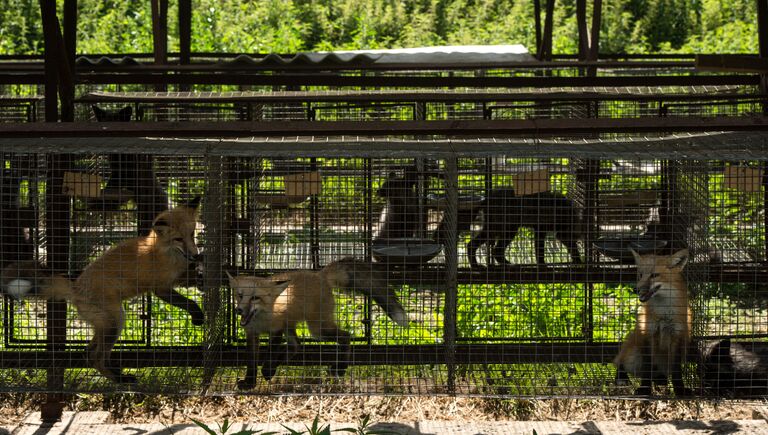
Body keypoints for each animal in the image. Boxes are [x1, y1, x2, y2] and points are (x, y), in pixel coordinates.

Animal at [0, 198, 206, 384]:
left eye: (192, 234)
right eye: (178, 239)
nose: (196, 255)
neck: (166, 253)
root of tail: (75, 287)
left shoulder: (178, 276)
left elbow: (191, 278)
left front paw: (201, 275)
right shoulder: (161, 288)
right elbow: (187, 302)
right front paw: (197, 315)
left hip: (105, 324)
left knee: (89, 353)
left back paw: (116, 373)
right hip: (116, 320)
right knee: (96, 357)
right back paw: (120, 379)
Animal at [226, 258, 412, 392]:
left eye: (255, 298)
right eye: (239, 295)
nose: (238, 310)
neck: (260, 320)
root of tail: (320, 274)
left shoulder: (277, 329)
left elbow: (270, 353)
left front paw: (267, 370)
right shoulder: (252, 334)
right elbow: (251, 362)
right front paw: (250, 382)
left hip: (317, 329)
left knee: (346, 336)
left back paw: (340, 368)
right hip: (296, 326)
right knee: (297, 346)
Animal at [616, 247, 692, 396]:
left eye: (654, 275)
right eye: (640, 275)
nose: (636, 289)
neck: (664, 314)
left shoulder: (678, 337)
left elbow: (676, 372)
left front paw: (680, 389)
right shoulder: (648, 334)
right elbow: (647, 368)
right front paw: (645, 389)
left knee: (660, 374)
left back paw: (661, 380)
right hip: (633, 353)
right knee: (619, 362)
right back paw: (621, 378)